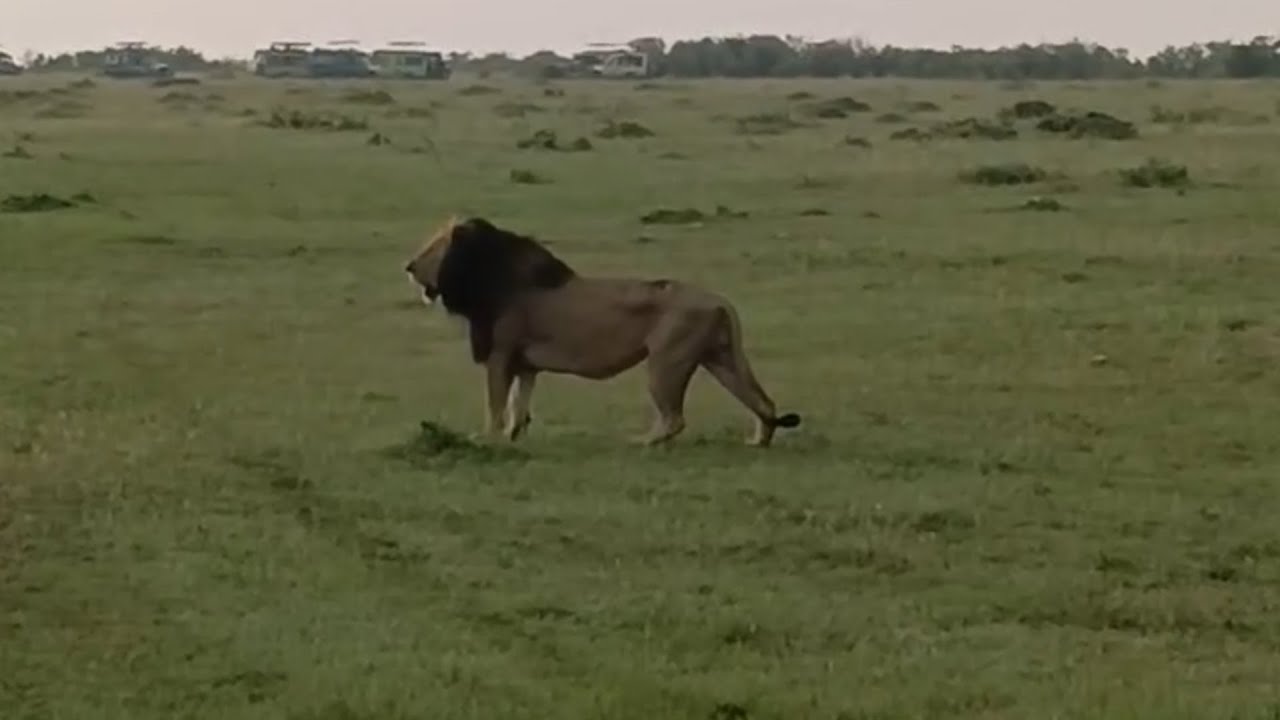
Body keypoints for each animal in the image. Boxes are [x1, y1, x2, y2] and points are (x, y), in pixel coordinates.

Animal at [403, 216, 801, 447]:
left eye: (434, 248)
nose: (408, 266)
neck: (494, 277)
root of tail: (721, 301)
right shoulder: (525, 363)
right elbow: (520, 403)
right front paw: (514, 436)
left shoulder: (501, 354)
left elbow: (496, 402)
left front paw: (486, 439)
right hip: (720, 358)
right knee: (763, 402)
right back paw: (758, 441)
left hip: (666, 361)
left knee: (675, 419)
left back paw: (640, 442)